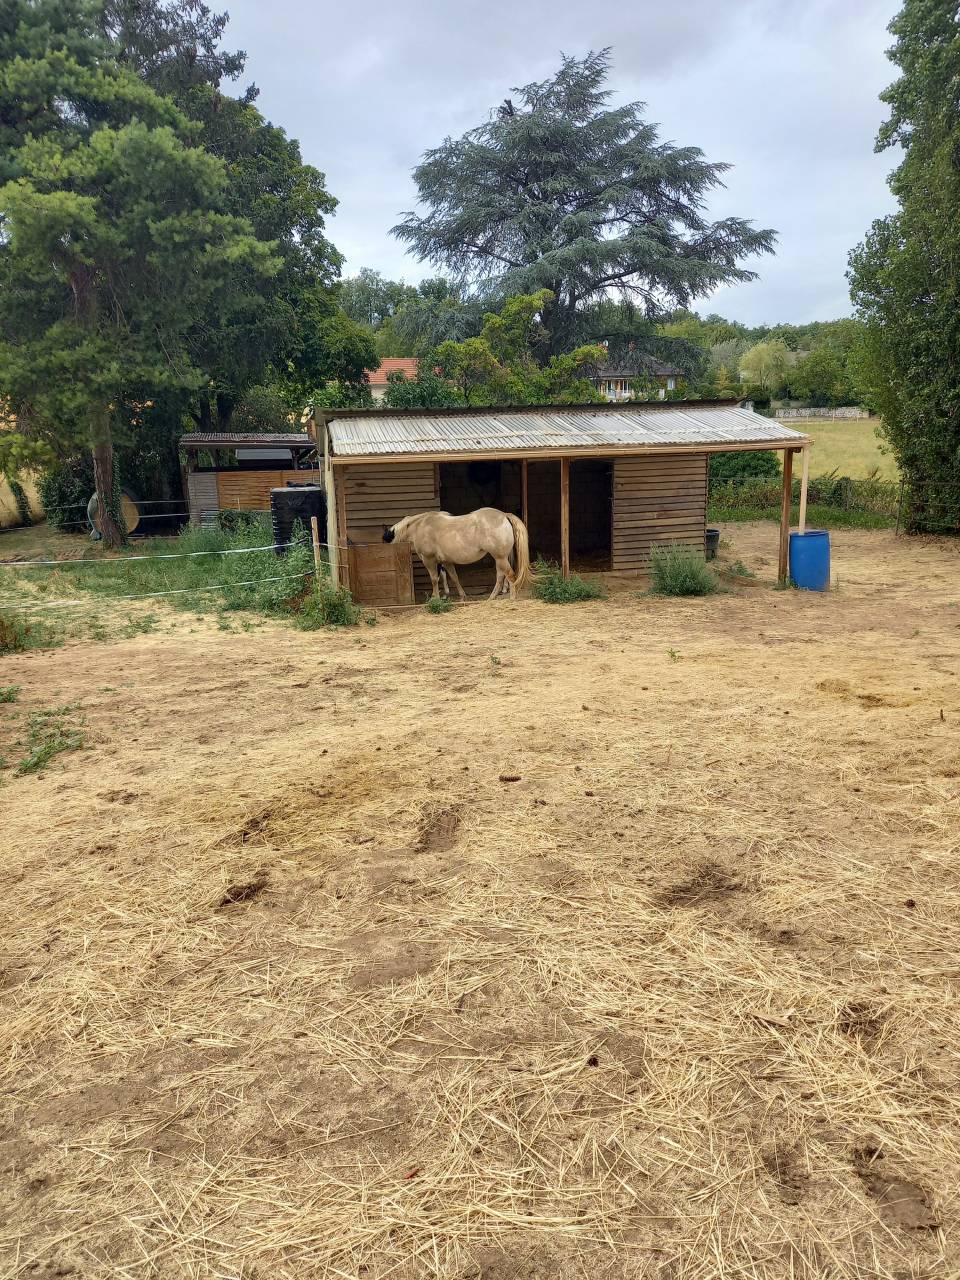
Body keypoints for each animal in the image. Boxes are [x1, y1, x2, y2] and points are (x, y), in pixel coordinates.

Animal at [383, 508, 534, 601]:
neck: (420, 527)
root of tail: (504, 515)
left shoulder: (429, 560)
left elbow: (434, 579)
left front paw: (435, 598)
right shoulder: (446, 562)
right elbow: (454, 577)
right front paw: (462, 596)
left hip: (500, 558)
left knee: (510, 575)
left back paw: (511, 597)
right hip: (499, 558)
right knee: (501, 577)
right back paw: (492, 597)